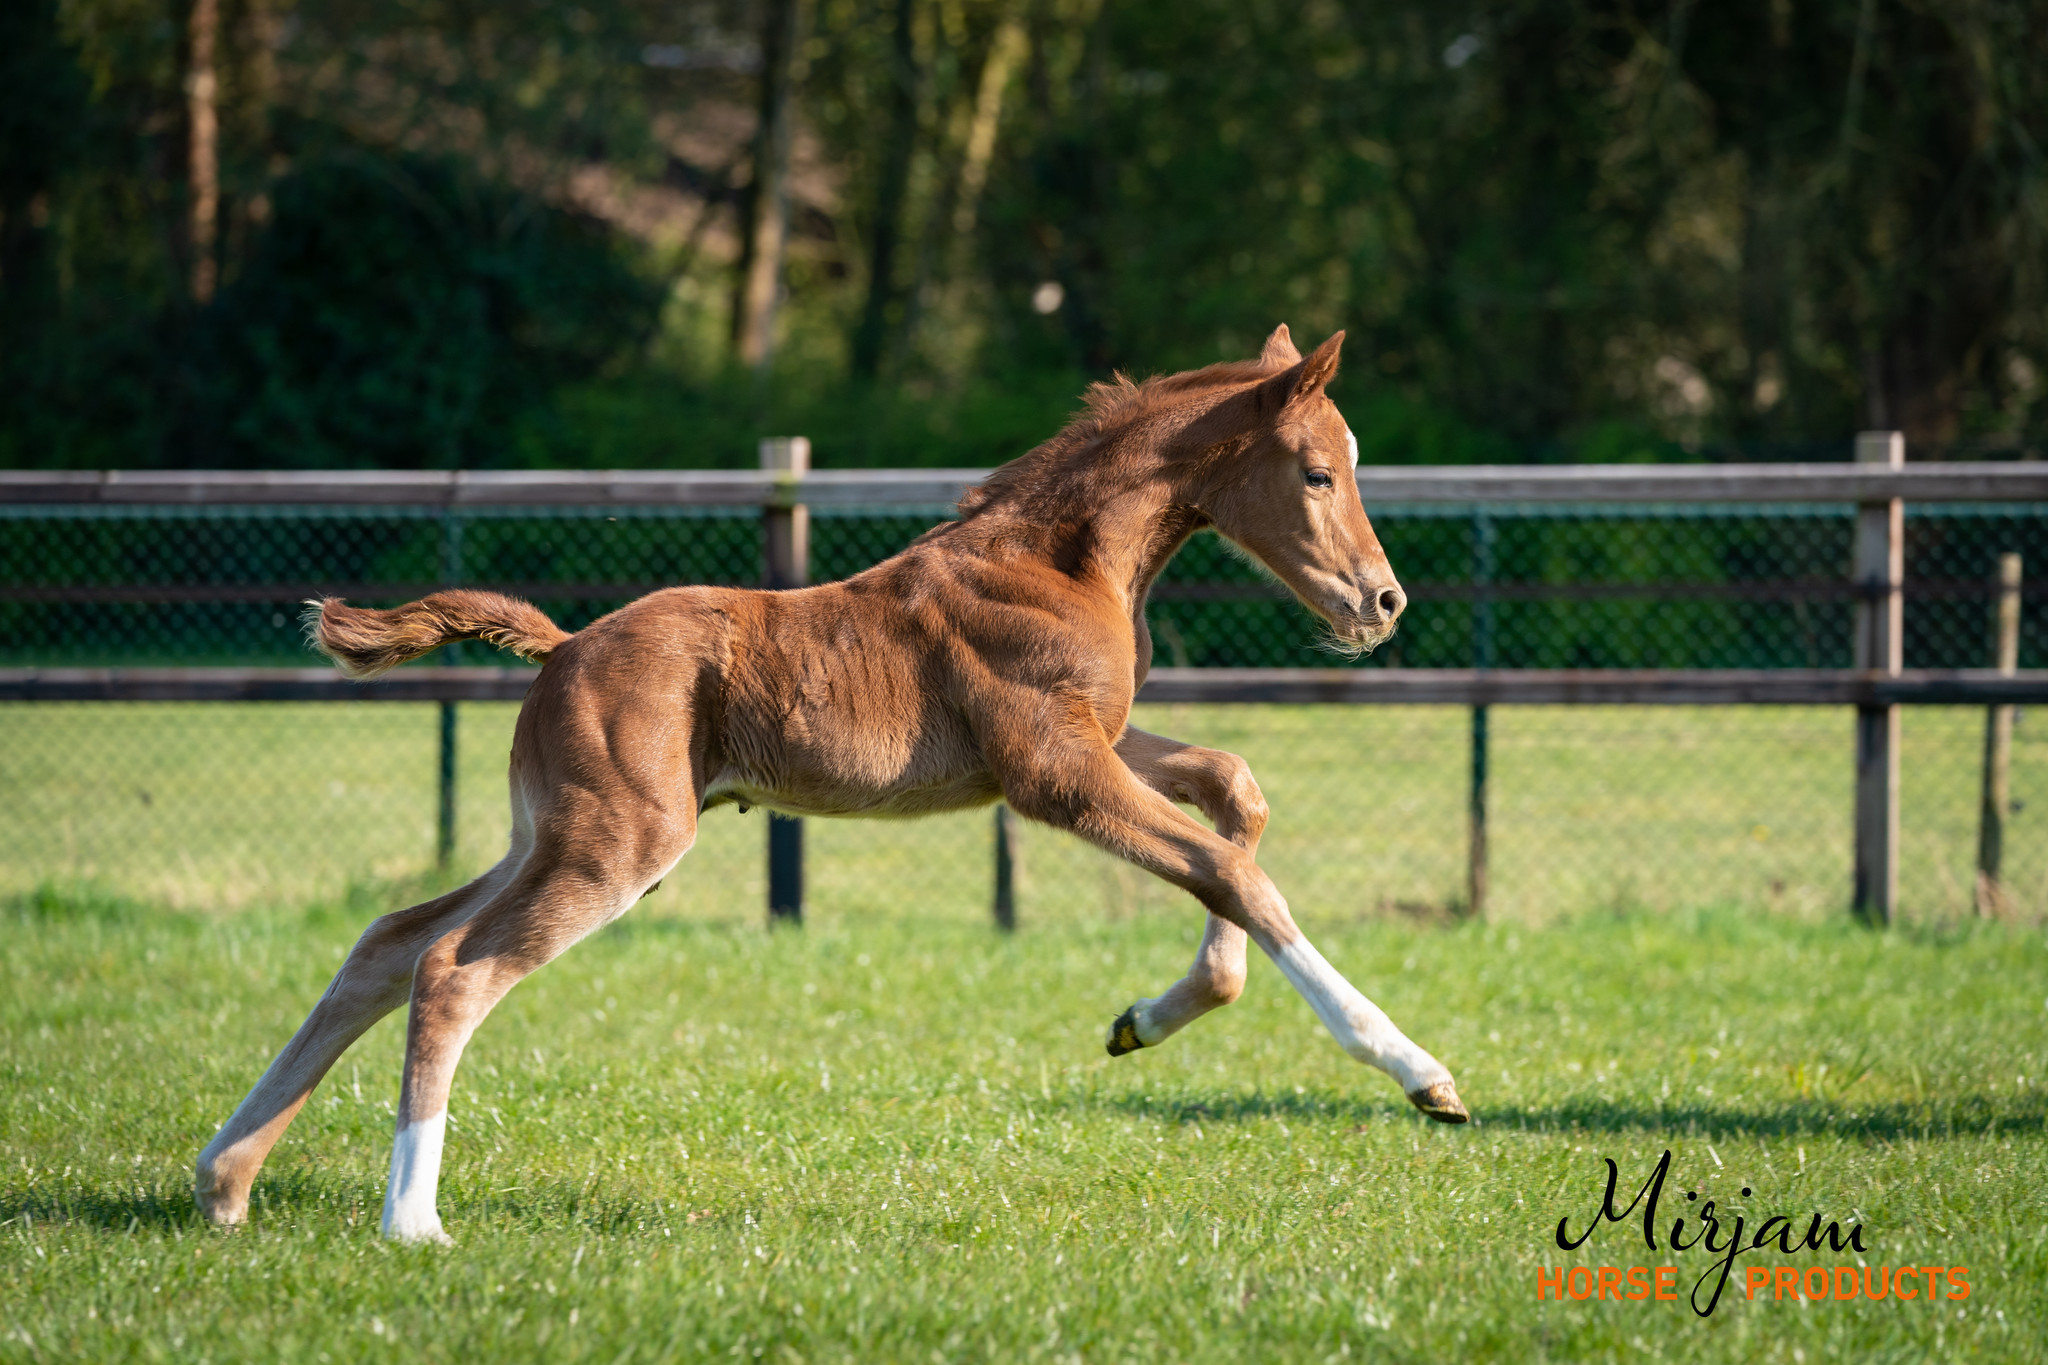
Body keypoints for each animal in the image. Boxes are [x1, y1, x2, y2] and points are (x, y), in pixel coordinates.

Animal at [192, 325, 1466, 1244]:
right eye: (1316, 472)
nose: (1382, 601)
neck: (1060, 560)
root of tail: (560, 647)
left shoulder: (1087, 742)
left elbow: (1236, 798)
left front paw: (1146, 1021)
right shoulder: (1051, 770)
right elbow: (1232, 871)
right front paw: (1418, 1074)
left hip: (542, 831)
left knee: (387, 942)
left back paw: (225, 1179)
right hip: (617, 844)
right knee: (453, 969)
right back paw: (410, 1220)